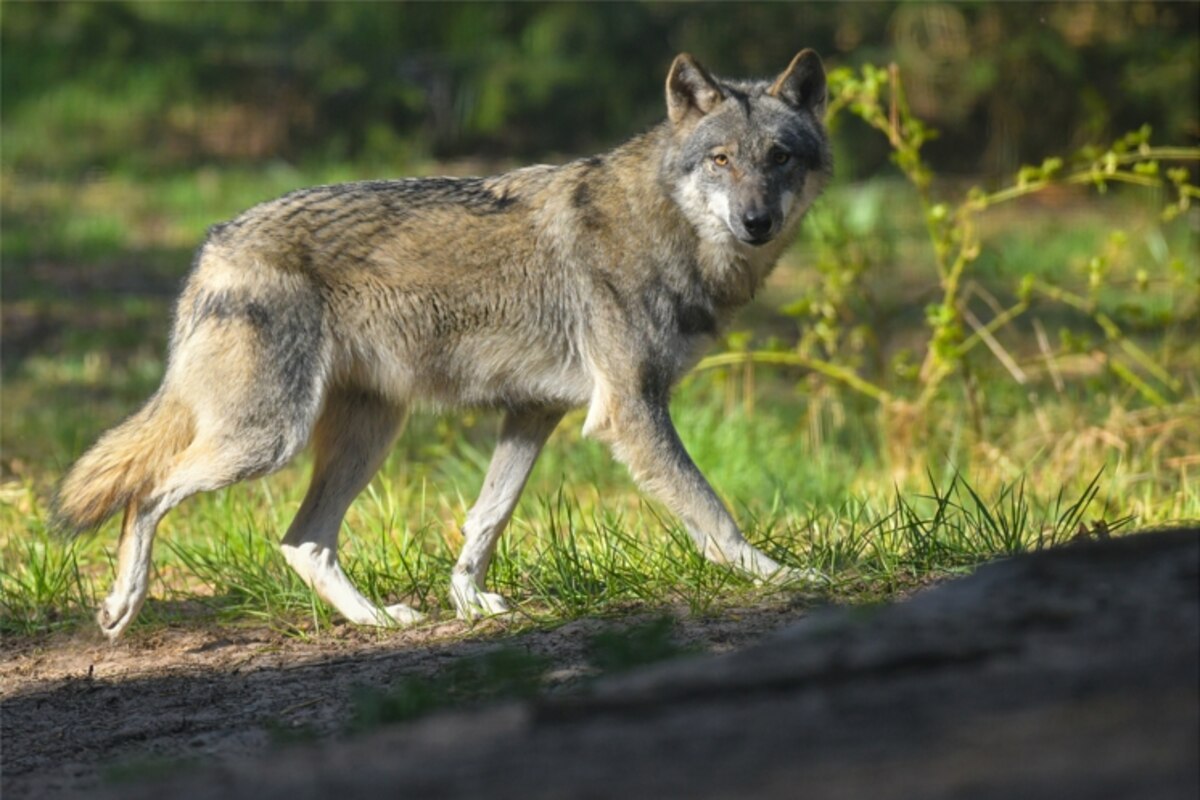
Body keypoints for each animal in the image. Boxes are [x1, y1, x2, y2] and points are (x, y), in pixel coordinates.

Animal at [52, 50, 832, 639]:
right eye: (721, 159)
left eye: (779, 157)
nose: (757, 221)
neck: (665, 225)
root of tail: (212, 244)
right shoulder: (631, 414)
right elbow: (714, 513)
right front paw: (781, 578)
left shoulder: (534, 413)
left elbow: (486, 519)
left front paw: (467, 602)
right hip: (267, 442)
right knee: (148, 494)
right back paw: (122, 605)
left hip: (364, 435)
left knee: (302, 540)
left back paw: (378, 621)